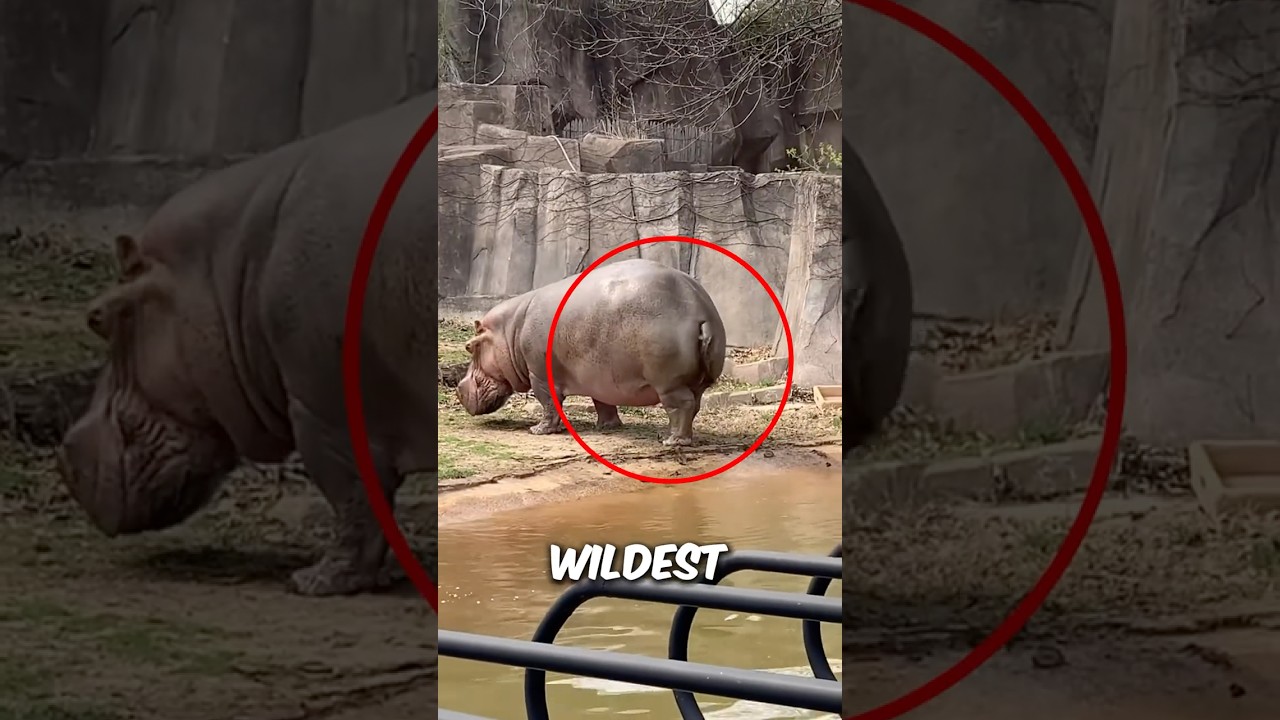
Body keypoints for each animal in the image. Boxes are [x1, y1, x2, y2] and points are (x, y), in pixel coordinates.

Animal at [55, 92, 438, 597]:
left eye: (97, 317)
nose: (64, 460)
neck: (228, 264)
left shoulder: (324, 410)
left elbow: (353, 498)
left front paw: (313, 582)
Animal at [457, 258, 727, 446]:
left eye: (469, 346)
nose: (458, 389)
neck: (509, 330)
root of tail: (701, 310)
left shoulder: (540, 376)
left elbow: (548, 403)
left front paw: (538, 430)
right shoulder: (601, 377)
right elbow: (603, 403)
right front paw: (607, 427)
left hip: (668, 383)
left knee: (681, 406)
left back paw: (672, 441)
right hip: (698, 381)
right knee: (694, 405)